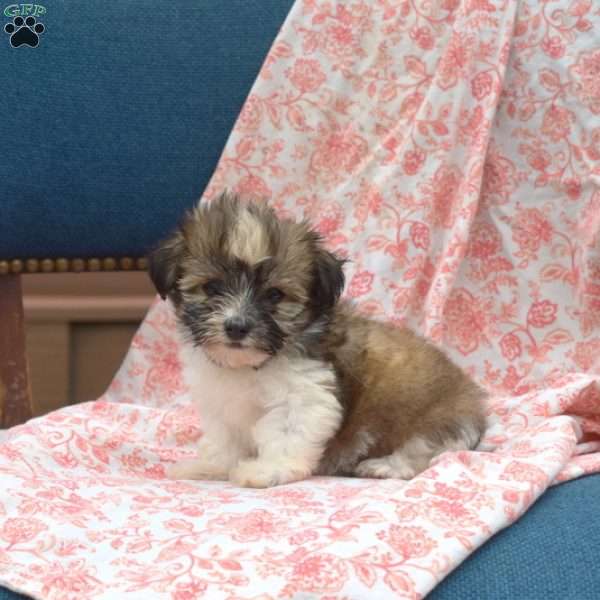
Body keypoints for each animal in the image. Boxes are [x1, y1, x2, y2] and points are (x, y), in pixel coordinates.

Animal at [148, 192, 486, 488]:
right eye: (212, 287)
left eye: (274, 295)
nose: (237, 326)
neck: (250, 365)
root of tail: (476, 403)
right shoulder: (222, 404)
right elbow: (225, 439)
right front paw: (211, 465)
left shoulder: (306, 392)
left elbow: (286, 433)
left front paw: (268, 470)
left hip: (435, 421)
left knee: (426, 450)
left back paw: (386, 465)